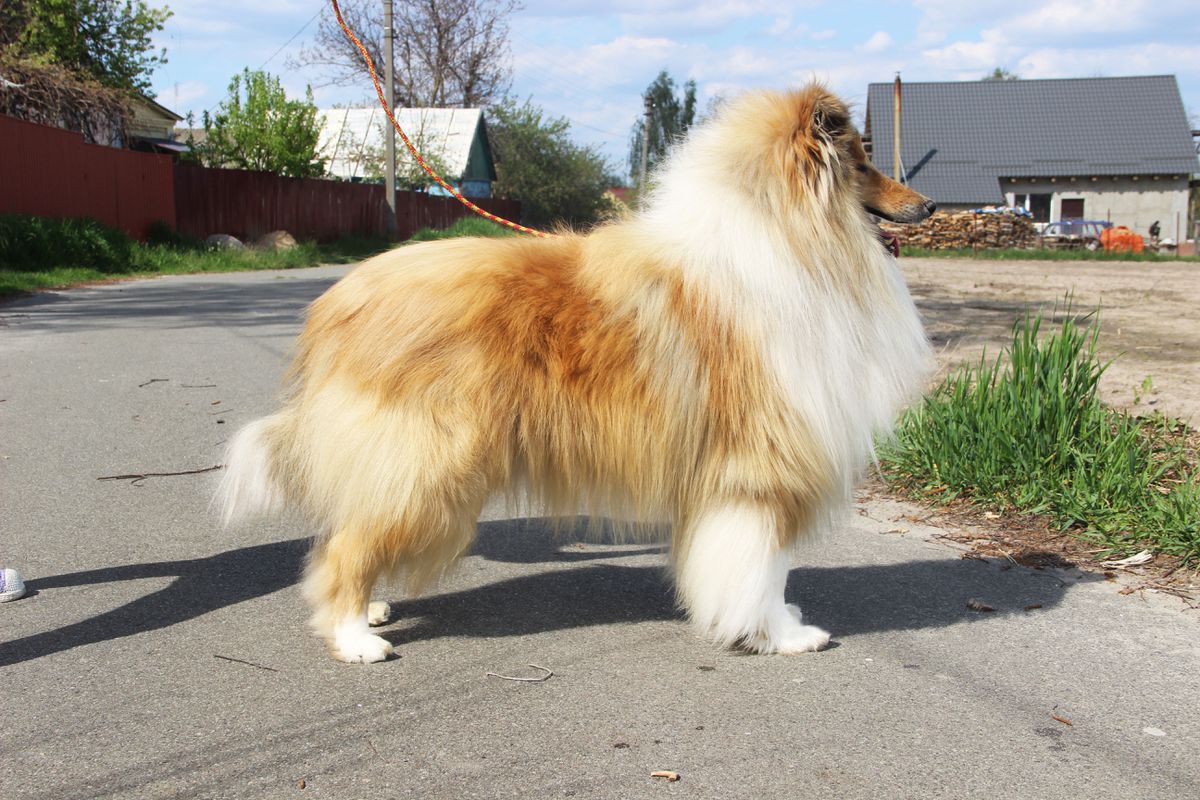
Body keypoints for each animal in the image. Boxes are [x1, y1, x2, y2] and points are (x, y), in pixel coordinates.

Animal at [223, 84, 936, 666]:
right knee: (344, 550)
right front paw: (783, 636)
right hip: (425, 462)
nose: (928, 206)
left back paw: (370, 609)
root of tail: (335, 303)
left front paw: (773, 624)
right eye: (861, 162)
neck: (794, 242)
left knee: (346, 531)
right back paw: (354, 638)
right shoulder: (762, 470)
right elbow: (765, 566)